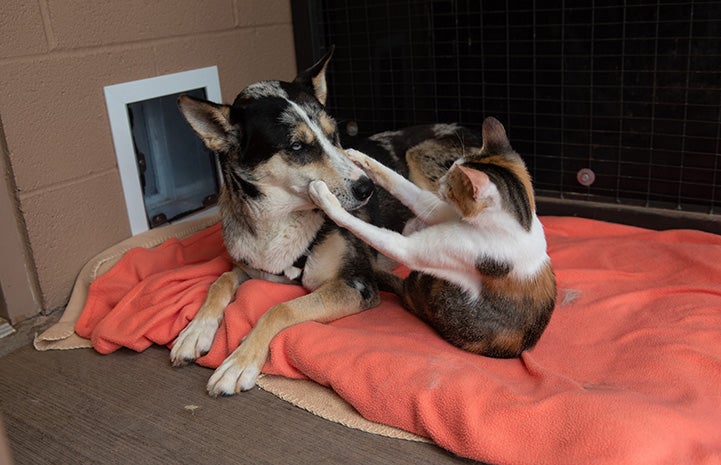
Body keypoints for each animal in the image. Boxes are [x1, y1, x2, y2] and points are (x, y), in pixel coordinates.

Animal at [169, 48, 414, 396]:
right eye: (297, 146)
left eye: (334, 135)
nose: (367, 188)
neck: (277, 223)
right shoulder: (255, 267)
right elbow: (221, 281)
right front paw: (194, 331)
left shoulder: (357, 285)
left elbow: (280, 308)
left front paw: (239, 363)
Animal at [310, 118, 556, 358]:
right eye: (452, 168)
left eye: (453, 182)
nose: (441, 181)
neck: (522, 220)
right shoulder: (443, 211)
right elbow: (408, 190)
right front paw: (361, 158)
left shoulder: (433, 247)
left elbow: (379, 235)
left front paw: (326, 198)